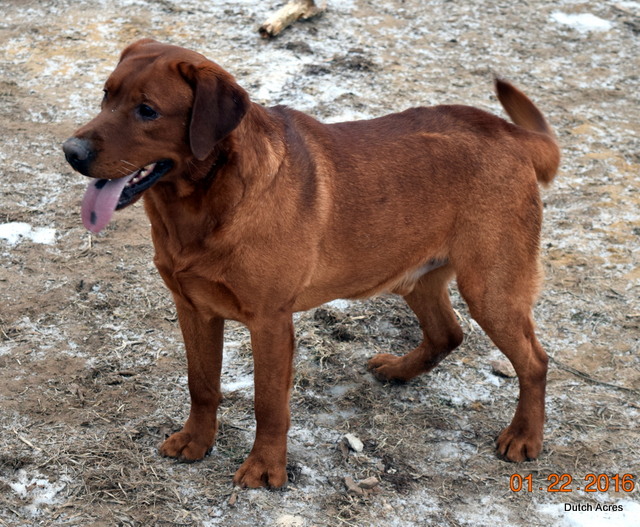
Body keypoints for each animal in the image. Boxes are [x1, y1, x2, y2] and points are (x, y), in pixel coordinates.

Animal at [61, 39, 560, 488]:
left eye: (147, 110)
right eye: (106, 95)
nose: (71, 152)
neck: (201, 207)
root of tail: (514, 134)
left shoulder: (270, 322)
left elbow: (268, 404)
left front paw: (265, 468)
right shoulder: (193, 309)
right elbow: (201, 384)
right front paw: (197, 441)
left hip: (491, 288)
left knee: (535, 361)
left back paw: (524, 436)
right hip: (415, 277)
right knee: (448, 333)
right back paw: (399, 371)